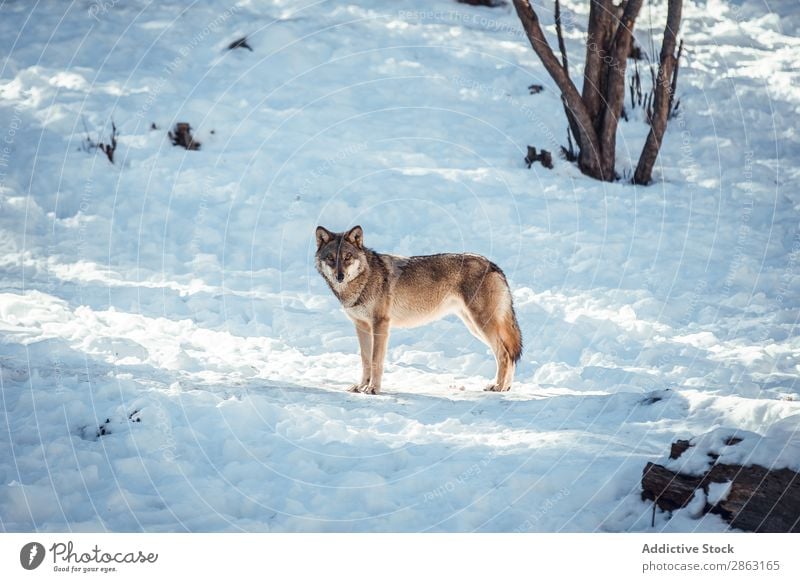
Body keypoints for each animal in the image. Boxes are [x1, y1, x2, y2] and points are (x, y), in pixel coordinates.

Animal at [316, 226, 520, 394]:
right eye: (331, 258)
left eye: (347, 257)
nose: (340, 277)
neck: (364, 280)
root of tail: (492, 264)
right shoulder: (361, 327)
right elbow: (365, 360)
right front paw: (361, 386)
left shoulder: (380, 325)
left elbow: (375, 361)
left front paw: (373, 388)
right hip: (473, 326)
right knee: (509, 354)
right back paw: (505, 387)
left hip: (481, 324)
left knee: (504, 354)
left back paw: (497, 386)